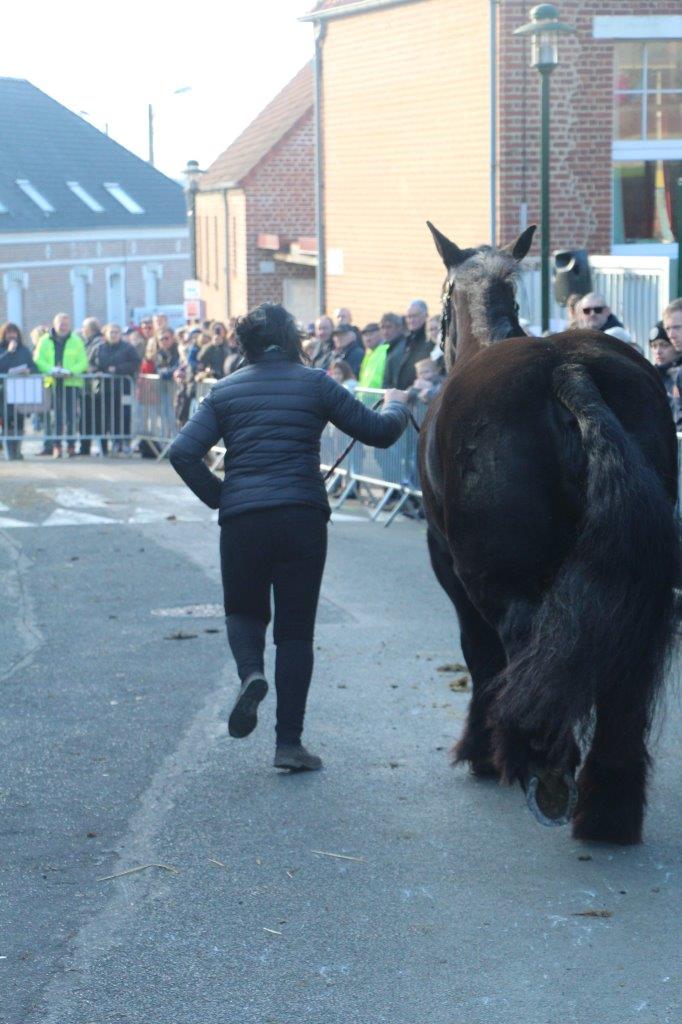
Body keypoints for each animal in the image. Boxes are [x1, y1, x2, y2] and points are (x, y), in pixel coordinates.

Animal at [417, 222, 675, 839]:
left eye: (441, 303)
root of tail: (568, 371)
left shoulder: (450, 569)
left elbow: (481, 655)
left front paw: (481, 752)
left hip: (501, 580)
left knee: (523, 647)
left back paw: (542, 765)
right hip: (636, 578)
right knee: (625, 673)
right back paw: (608, 805)